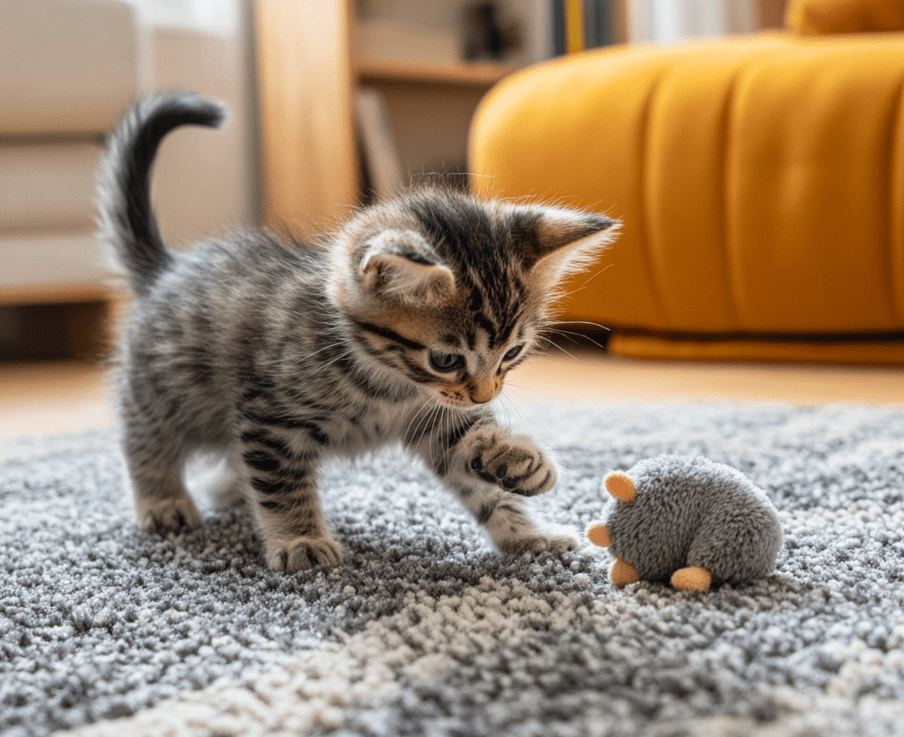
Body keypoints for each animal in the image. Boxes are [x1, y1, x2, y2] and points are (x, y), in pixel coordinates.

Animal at [99, 92, 620, 572]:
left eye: (512, 353)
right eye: (445, 360)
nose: (485, 395)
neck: (388, 382)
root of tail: (165, 268)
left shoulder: (434, 418)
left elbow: (482, 477)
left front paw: (522, 499)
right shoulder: (270, 417)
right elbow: (281, 485)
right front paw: (300, 540)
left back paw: (229, 487)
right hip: (164, 392)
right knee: (143, 440)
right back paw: (162, 499)